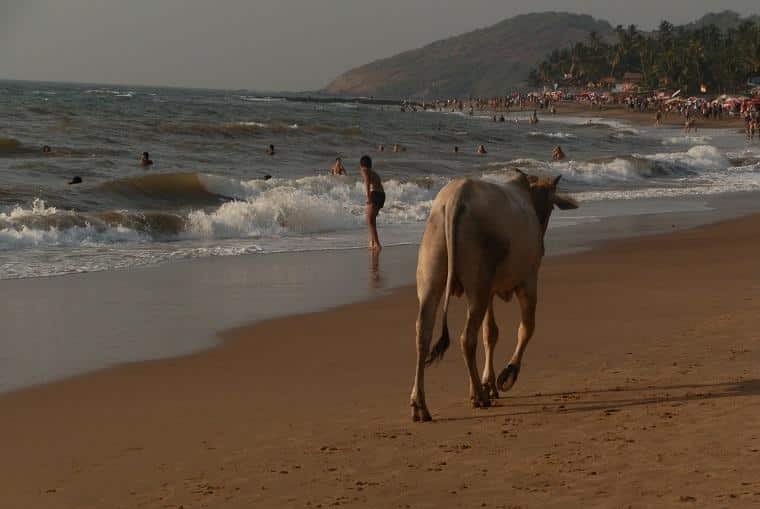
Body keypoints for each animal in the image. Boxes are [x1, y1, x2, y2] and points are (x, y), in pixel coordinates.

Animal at [410, 171, 576, 420]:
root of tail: (456, 197)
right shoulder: (528, 281)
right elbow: (527, 329)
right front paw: (506, 376)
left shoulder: (489, 292)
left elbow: (490, 333)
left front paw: (489, 382)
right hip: (478, 286)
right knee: (467, 339)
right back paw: (479, 396)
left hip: (433, 280)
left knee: (423, 336)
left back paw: (420, 404)